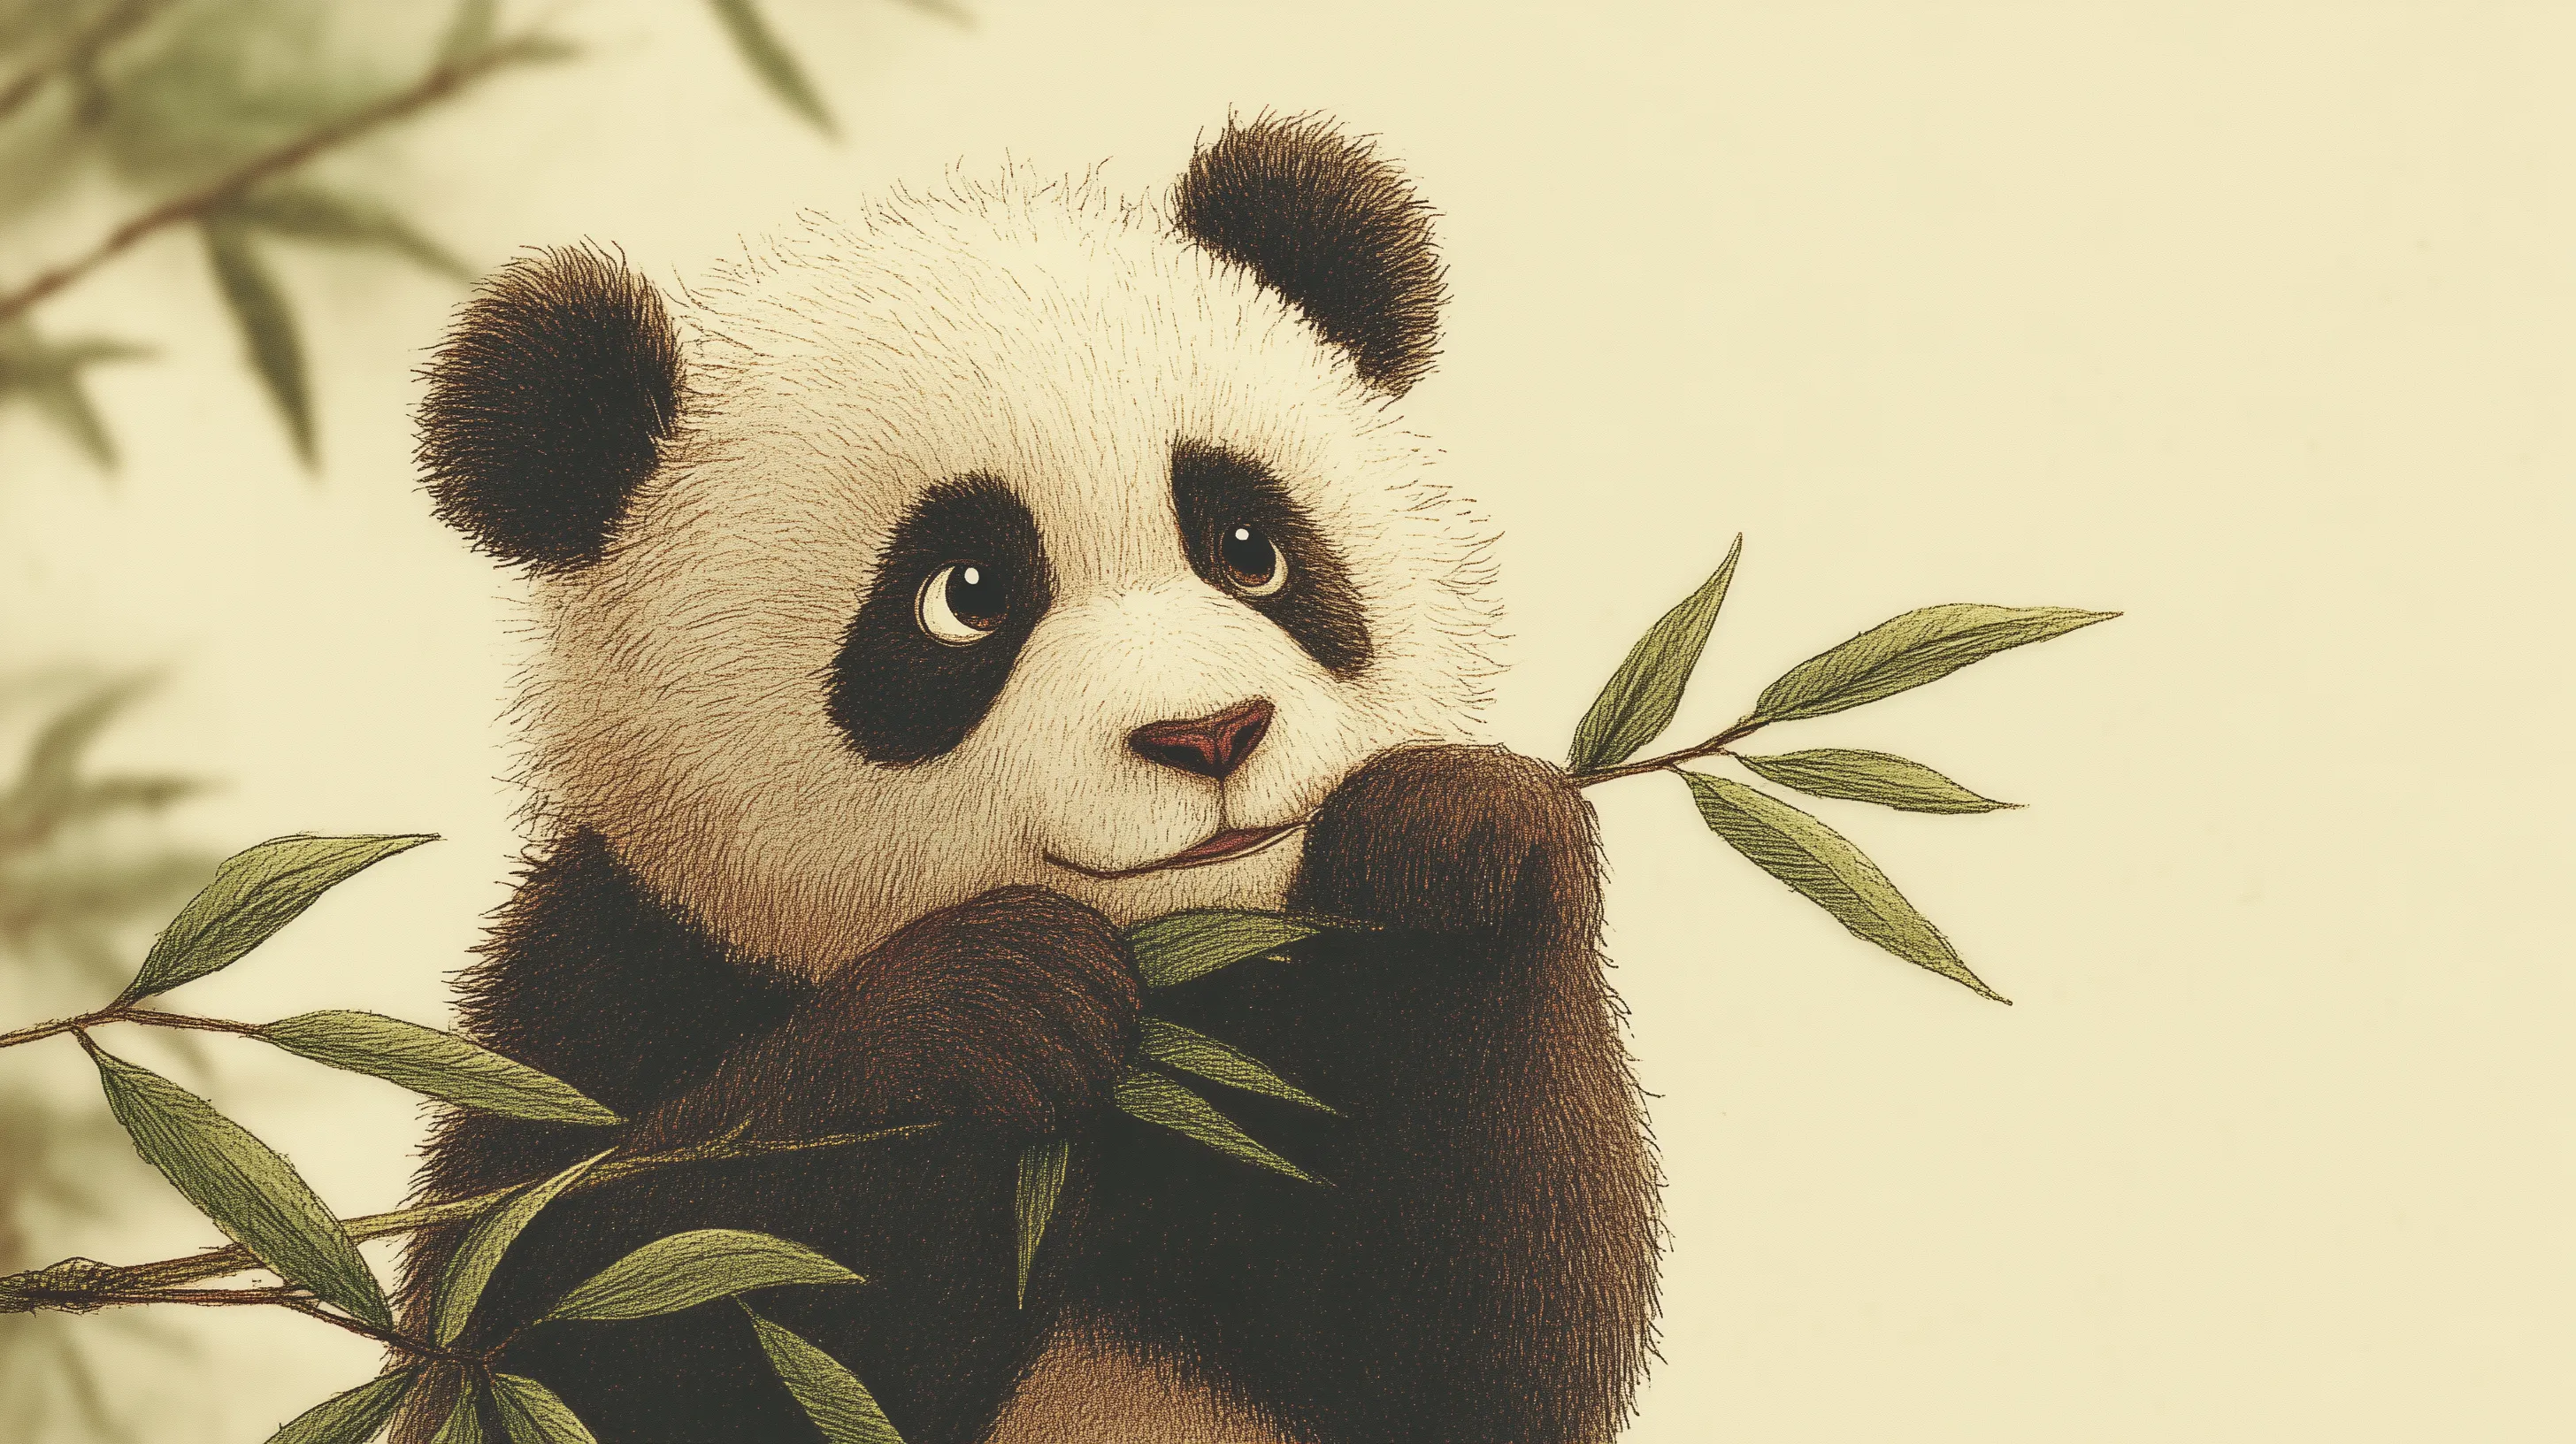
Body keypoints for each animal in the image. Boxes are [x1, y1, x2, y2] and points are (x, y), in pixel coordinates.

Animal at [395, 114, 1660, 1444]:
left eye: (1249, 548)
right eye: (963, 596)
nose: (1209, 734)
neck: (1178, 997)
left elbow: (1476, 1336)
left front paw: (1444, 846)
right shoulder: (602, 989)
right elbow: (585, 1328)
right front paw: (988, 1008)